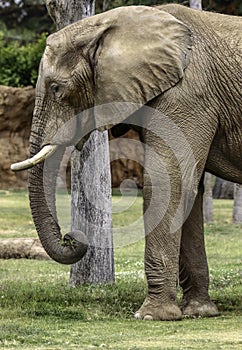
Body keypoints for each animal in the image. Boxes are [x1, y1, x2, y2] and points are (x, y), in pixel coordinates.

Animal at [11, 4, 242, 320]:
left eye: (57, 89)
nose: (71, 237)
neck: (108, 24)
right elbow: (190, 188)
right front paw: (199, 311)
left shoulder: (188, 94)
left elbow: (168, 181)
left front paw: (151, 316)